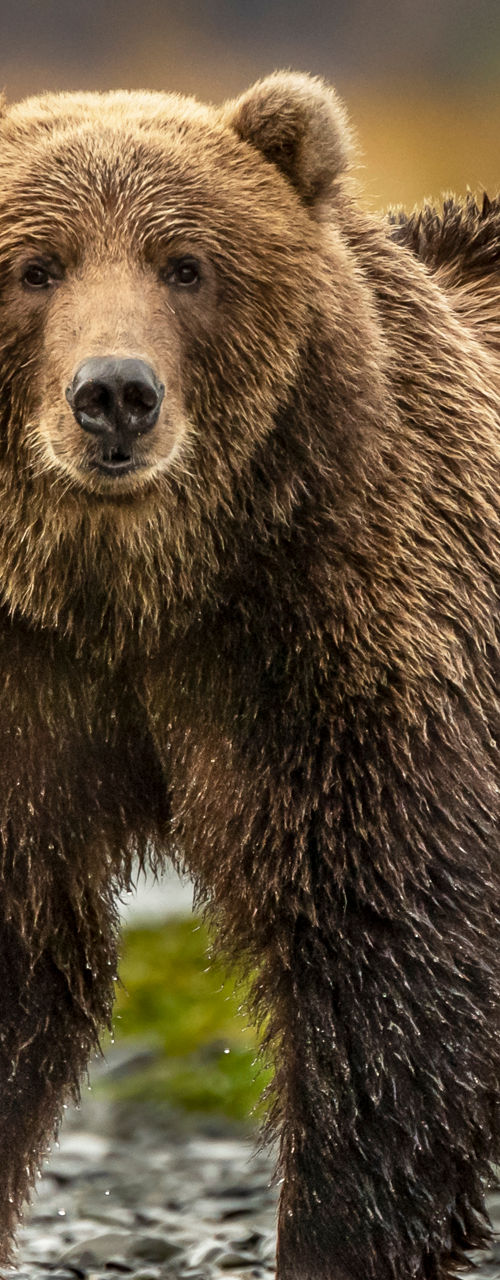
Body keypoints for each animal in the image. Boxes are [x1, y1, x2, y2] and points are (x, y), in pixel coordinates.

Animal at [0, 69, 497, 1280]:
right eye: (36, 265)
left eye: (186, 263)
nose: (114, 394)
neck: (132, 594)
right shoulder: (28, 676)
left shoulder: (327, 635)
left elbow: (383, 958)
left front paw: (332, 1242)